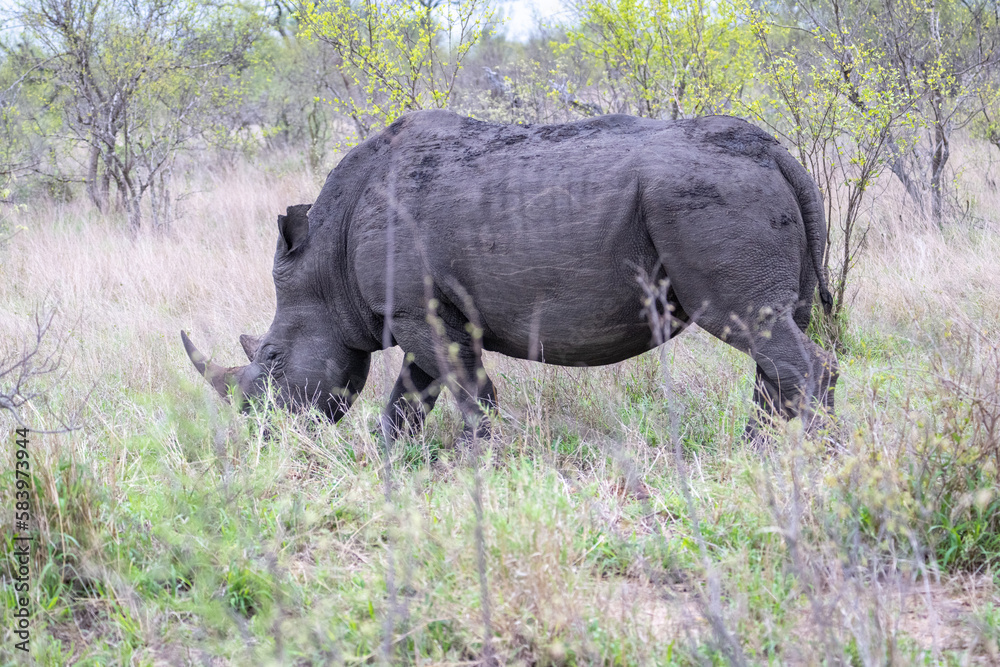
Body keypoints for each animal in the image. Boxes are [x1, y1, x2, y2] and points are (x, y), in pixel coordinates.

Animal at [182, 110, 838, 442]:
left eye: (270, 358)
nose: (260, 435)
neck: (328, 264)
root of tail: (777, 151)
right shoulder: (420, 310)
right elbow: (409, 399)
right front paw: (390, 463)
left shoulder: (417, 310)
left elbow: (469, 392)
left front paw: (488, 462)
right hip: (734, 193)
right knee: (777, 330)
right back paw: (764, 452)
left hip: (708, 198)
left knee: (754, 327)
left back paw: (810, 456)